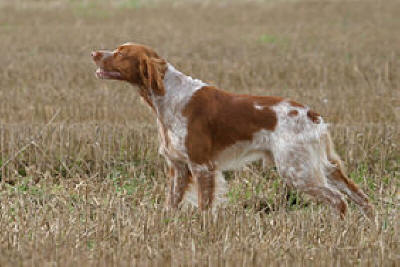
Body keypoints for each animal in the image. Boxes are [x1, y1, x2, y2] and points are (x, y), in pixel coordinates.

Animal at [92, 42, 374, 220]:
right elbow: (171, 203)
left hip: (297, 170)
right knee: (360, 197)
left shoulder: (202, 166)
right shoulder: (179, 168)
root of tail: (312, 115)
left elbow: (205, 206)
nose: (94, 53)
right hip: (323, 166)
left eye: (120, 52)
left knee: (338, 200)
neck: (169, 96)